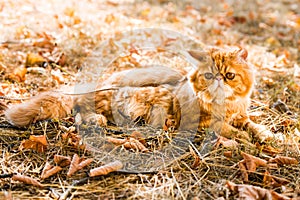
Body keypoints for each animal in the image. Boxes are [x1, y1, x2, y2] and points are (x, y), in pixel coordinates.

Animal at [4, 46, 272, 141]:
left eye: (229, 75)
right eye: (208, 75)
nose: (217, 79)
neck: (226, 105)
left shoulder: (241, 115)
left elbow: (253, 125)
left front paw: (269, 136)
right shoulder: (203, 122)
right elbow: (227, 129)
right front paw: (244, 139)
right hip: (143, 94)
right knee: (83, 111)